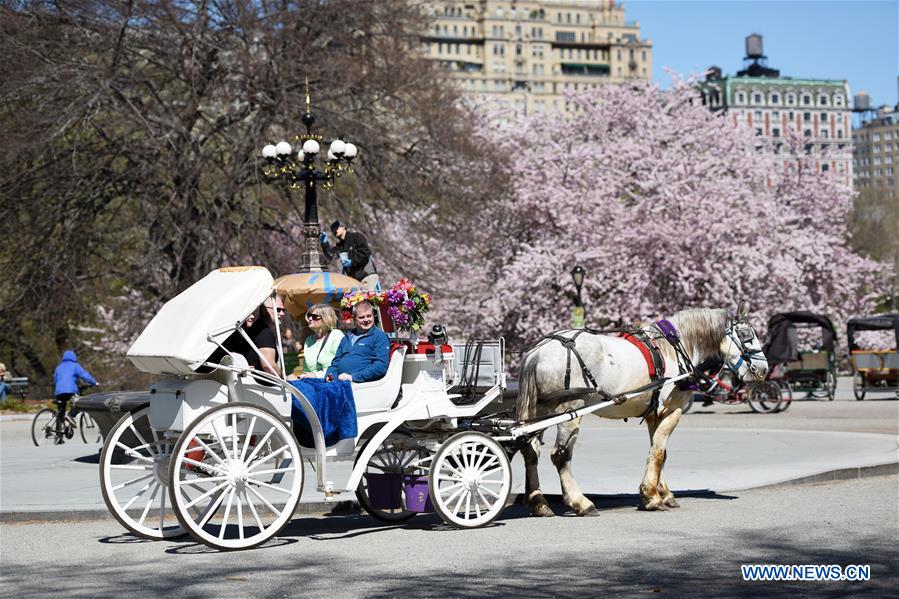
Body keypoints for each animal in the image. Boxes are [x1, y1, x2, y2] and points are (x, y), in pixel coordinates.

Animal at [512, 308, 768, 516]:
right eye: (748, 336)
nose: (764, 369)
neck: (674, 349)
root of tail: (538, 352)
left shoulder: (655, 414)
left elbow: (659, 451)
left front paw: (663, 493)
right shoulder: (672, 410)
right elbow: (658, 452)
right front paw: (651, 497)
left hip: (540, 413)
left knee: (530, 451)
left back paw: (539, 503)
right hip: (569, 412)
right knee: (560, 455)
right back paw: (580, 502)